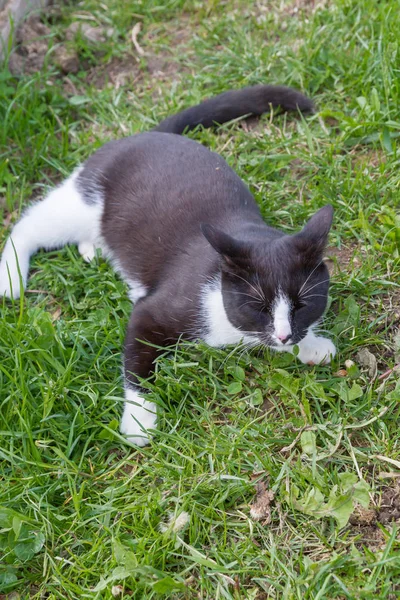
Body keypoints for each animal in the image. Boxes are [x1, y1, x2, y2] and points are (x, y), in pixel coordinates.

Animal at [0, 84, 336, 446]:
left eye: (301, 305)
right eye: (257, 306)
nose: (285, 336)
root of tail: (149, 134)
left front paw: (312, 344)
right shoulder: (158, 308)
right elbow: (138, 361)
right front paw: (138, 420)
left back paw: (92, 248)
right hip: (84, 199)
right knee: (31, 223)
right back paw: (10, 277)